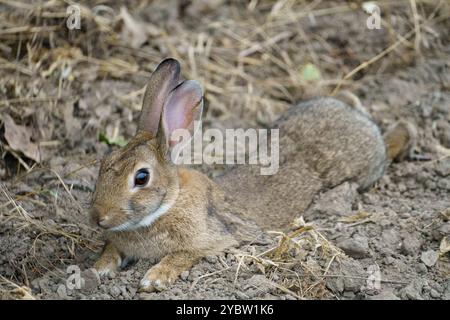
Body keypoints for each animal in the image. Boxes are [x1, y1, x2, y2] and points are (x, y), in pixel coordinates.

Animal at [89, 57, 416, 292]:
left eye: (141, 178)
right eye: (104, 163)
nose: (98, 217)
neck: (167, 204)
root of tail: (356, 118)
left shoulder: (209, 242)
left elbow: (181, 256)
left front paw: (153, 279)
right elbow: (111, 249)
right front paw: (99, 269)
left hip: (364, 168)